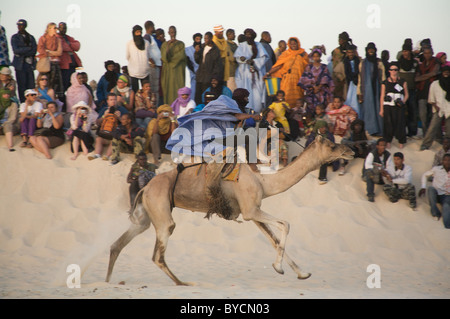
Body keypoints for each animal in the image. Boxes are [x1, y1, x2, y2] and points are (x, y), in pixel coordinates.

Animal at [105, 136, 356, 286]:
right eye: (332, 145)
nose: (351, 151)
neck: (263, 180)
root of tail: (145, 187)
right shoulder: (251, 210)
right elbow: (286, 224)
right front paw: (278, 268)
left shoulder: (252, 212)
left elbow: (274, 239)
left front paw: (301, 273)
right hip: (162, 213)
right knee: (158, 254)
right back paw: (182, 283)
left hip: (146, 216)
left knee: (118, 244)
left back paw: (107, 281)